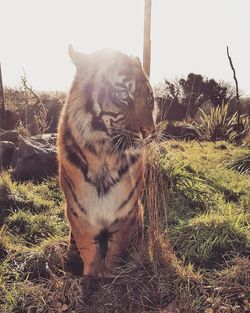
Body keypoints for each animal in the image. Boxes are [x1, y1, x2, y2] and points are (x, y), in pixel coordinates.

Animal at [56, 44, 155, 276]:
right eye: (123, 95)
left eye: (149, 98)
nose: (150, 133)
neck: (105, 156)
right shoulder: (79, 213)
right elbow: (89, 250)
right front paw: (91, 277)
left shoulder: (126, 213)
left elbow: (115, 250)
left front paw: (111, 275)